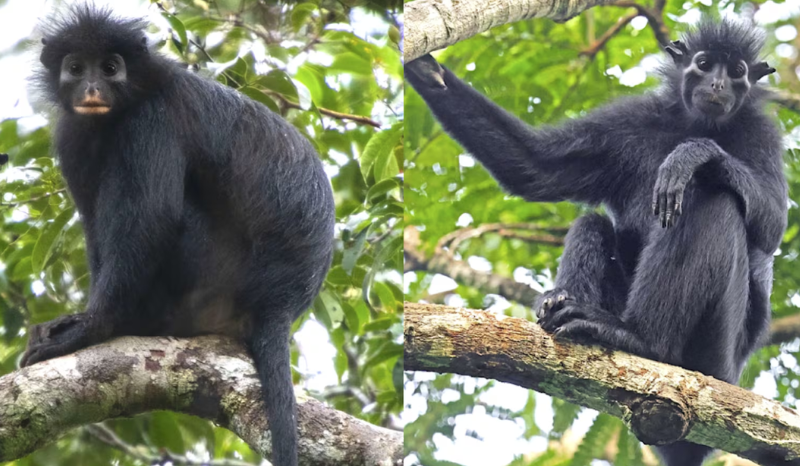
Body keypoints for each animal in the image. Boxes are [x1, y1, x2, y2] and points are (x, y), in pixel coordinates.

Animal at [21, 6, 335, 466]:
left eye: (110, 68)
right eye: (76, 68)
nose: (93, 87)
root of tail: (280, 303)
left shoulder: (152, 120)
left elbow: (152, 217)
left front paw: (94, 327)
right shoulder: (73, 137)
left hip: (210, 274)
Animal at [406, 18, 786, 466]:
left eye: (737, 71)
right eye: (705, 64)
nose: (718, 84)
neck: (697, 124)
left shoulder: (762, 132)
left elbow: (773, 222)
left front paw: (692, 155)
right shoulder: (631, 122)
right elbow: (535, 167)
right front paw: (429, 72)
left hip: (718, 352)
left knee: (714, 200)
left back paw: (641, 338)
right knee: (593, 222)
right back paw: (566, 306)